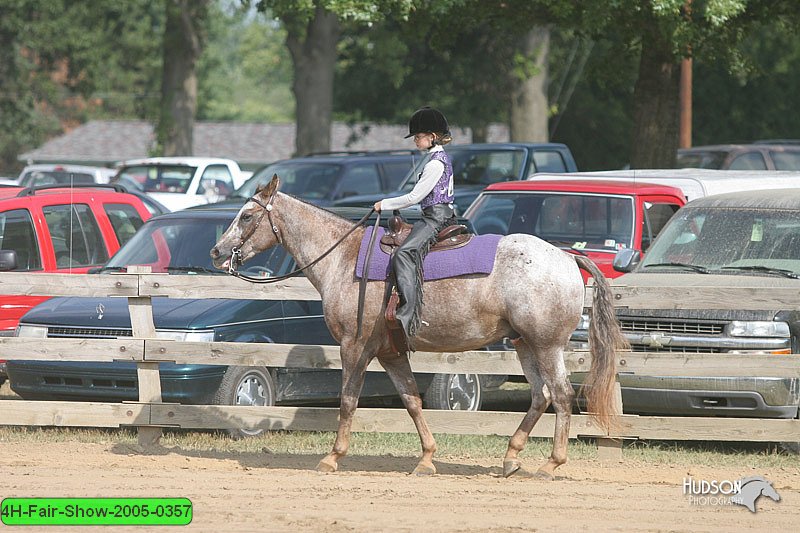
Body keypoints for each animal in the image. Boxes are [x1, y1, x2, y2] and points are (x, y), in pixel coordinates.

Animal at [211, 176, 624, 478]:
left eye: (246, 216)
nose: (217, 252)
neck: (344, 258)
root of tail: (566, 257)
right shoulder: (390, 352)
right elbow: (412, 400)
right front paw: (426, 459)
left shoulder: (355, 347)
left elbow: (348, 399)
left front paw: (332, 457)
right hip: (525, 344)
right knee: (542, 395)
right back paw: (510, 457)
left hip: (547, 345)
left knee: (563, 395)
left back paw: (551, 463)